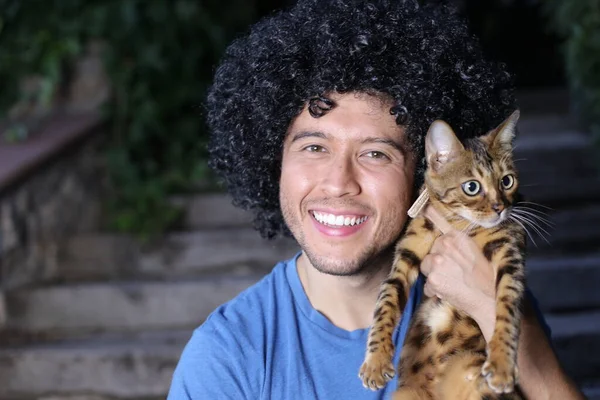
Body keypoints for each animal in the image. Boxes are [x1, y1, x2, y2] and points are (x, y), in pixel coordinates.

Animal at [360, 110, 524, 400]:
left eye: (507, 181)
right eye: (472, 187)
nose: (500, 208)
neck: (456, 223)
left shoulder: (508, 251)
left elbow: (507, 305)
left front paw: (502, 364)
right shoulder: (406, 255)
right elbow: (386, 303)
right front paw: (376, 362)